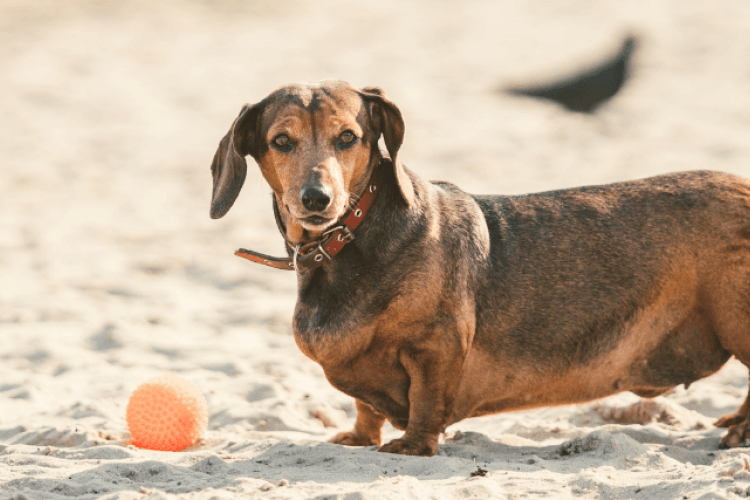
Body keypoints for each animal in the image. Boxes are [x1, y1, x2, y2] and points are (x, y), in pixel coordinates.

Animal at [209, 79, 750, 458]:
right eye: (282, 141)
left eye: (348, 137)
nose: (317, 199)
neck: (348, 241)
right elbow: (366, 406)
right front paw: (361, 437)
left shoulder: (436, 345)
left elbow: (426, 399)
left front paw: (413, 446)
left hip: (736, 319)